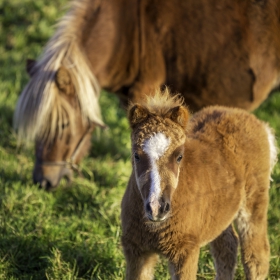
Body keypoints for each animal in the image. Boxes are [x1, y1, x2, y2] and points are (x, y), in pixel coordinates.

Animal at [121, 88, 278, 278]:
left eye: (179, 156)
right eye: (136, 156)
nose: (157, 207)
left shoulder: (185, 250)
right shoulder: (136, 251)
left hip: (254, 202)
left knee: (256, 256)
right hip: (220, 209)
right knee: (227, 247)